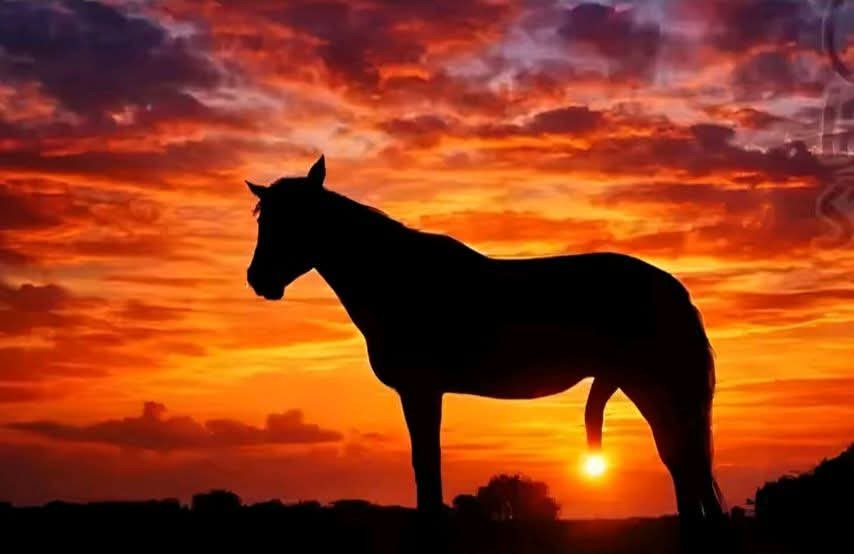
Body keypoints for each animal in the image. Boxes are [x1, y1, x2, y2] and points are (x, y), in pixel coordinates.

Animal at [245, 155, 726, 538]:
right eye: (263, 220)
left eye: (296, 220)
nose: (258, 279)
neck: (399, 279)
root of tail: (673, 289)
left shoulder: (421, 391)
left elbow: (427, 470)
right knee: (682, 466)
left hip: (654, 387)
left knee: (689, 466)